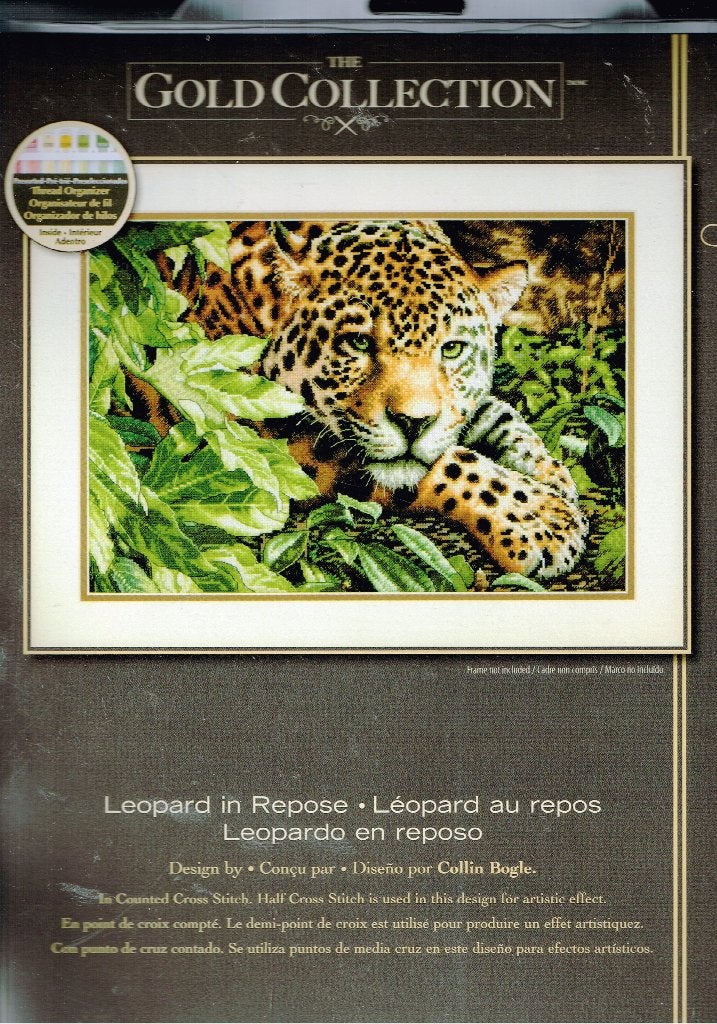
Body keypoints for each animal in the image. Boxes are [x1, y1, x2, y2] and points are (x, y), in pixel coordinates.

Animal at [151, 218, 588, 580]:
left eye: (451, 349)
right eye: (359, 343)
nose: (414, 423)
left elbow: (500, 416)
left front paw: (555, 479)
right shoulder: (249, 433)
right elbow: (451, 463)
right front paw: (542, 519)